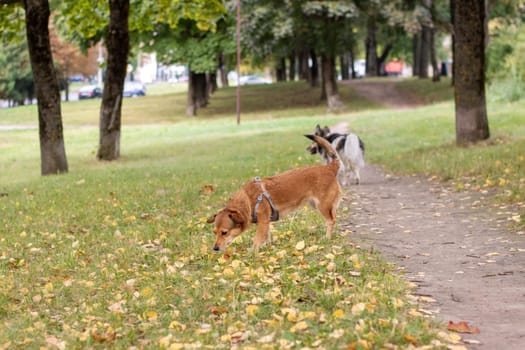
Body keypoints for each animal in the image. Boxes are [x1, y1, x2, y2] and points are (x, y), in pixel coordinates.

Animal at [207, 135, 342, 252]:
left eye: (224, 232)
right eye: (214, 232)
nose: (215, 248)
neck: (248, 200)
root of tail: (329, 168)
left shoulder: (262, 222)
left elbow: (257, 238)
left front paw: (253, 251)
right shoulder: (266, 222)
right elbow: (266, 236)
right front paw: (267, 246)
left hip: (322, 205)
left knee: (331, 220)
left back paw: (327, 237)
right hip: (320, 205)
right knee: (334, 216)